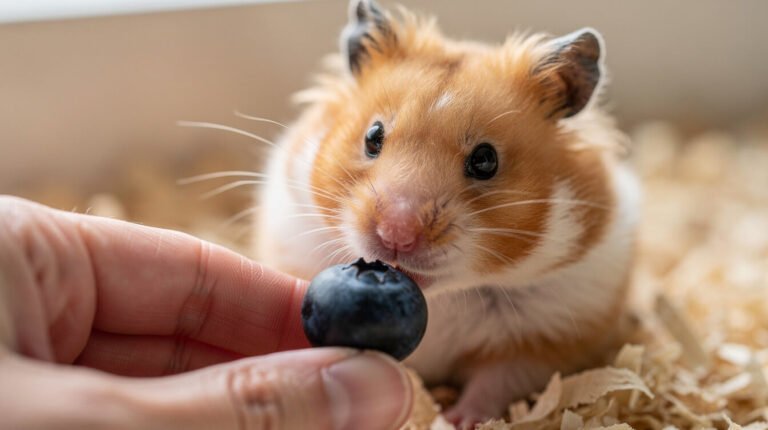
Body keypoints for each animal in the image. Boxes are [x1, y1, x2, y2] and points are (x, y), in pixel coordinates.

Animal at [255, 0, 640, 427]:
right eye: (373, 136)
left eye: (486, 160)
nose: (396, 234)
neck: (441, 297)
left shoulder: (544, 339)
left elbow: (496, 382)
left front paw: (458, 419)